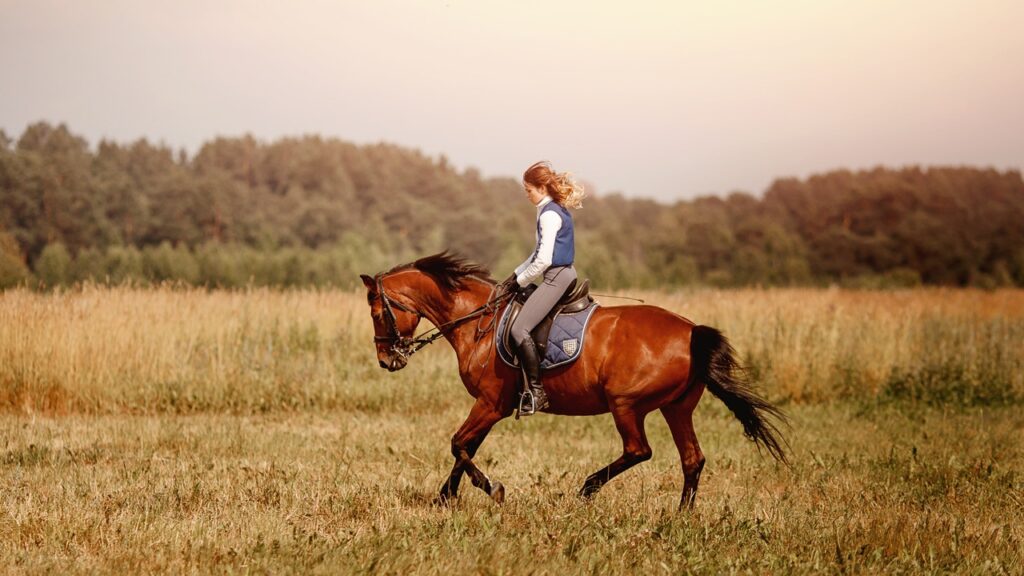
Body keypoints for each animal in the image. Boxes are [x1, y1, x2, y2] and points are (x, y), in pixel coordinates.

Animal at [360, 252, 787, 509]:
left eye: (378, 313)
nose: (386, 361)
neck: (477, 321)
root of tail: (690, 331)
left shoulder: (490, 404)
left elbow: (458, 445)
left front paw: (492, 490)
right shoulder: (490, 407)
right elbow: (466, 448)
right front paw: (445, 498)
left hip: (625, 405)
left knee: (639, 450)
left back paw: (587, 488)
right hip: (676, 408)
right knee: (692, 459)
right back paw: (681, 514)